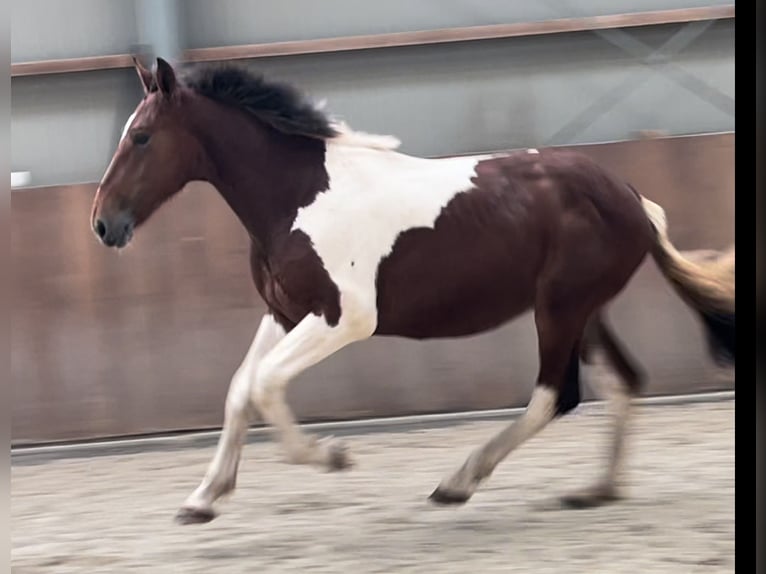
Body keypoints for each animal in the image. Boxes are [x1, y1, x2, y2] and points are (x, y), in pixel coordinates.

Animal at [90, 57, 736, 528]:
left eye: (141, 136)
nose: (103, 224)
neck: (298, 196)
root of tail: (634, 199)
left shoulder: (343, 318)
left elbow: (265, 385)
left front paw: (333, 456)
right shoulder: (283, 313)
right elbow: (239, 389)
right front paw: (202, 498)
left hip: (560, 309)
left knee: (557, 394)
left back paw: (458, 483)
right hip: (584, 310)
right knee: (623, 381)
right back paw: (596, 490)